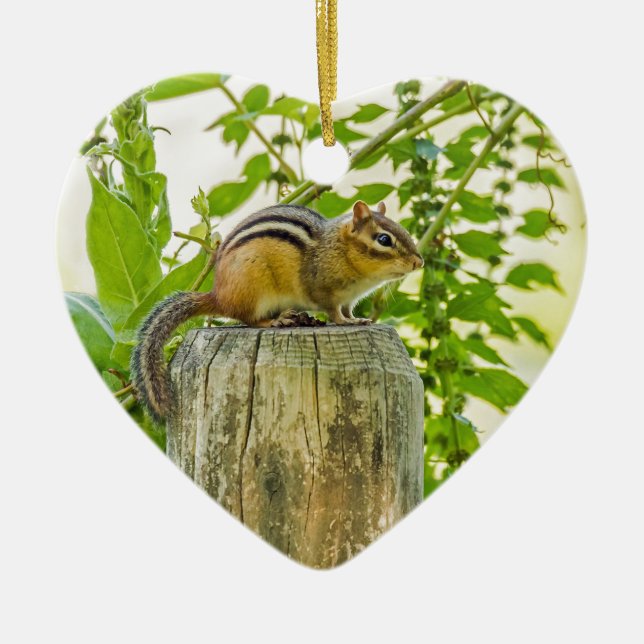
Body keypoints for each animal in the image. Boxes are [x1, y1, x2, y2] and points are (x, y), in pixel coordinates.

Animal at [131, 200, 424, 422]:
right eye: (384, 239)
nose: (418, 262)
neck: (341, 250)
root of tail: (218, 295)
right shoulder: (324, 291)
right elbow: (333, 312)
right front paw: (345, 323)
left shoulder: (349, 299)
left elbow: (348, 310)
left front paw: (358, 319)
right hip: (254, 288)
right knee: (248, 319)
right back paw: (276, 321)